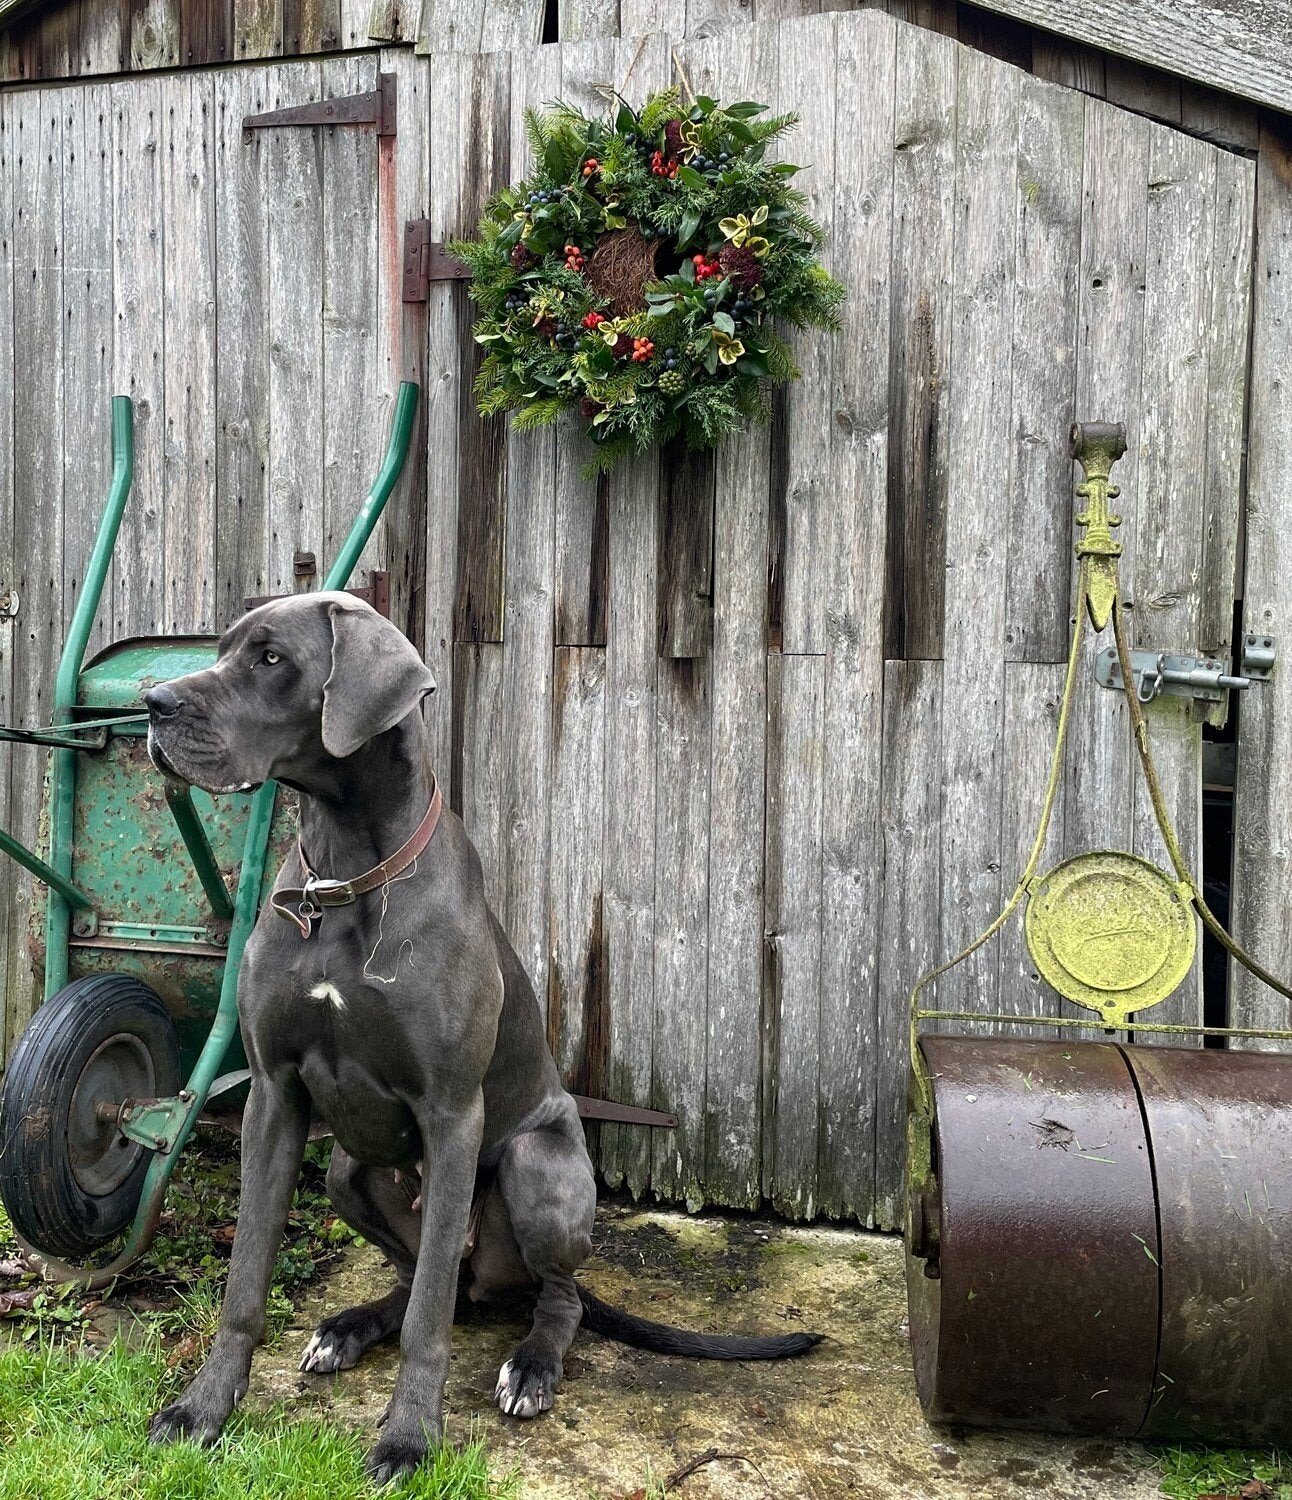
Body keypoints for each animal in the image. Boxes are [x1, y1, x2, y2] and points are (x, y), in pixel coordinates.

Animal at [144, 591, 819, 1483]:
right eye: (221, 649)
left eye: (270, 659)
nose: (151, 703)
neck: (346, 872)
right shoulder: (274, 1098)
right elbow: (245, 1282)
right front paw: (203, 1408)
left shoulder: (452, 1112)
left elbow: (429, 1324)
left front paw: (407, 1438)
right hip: (348, 1170)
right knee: (428, 1278)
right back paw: (350, 1326)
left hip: (538, 1168)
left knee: (542, 1299)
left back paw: (531, 1367)